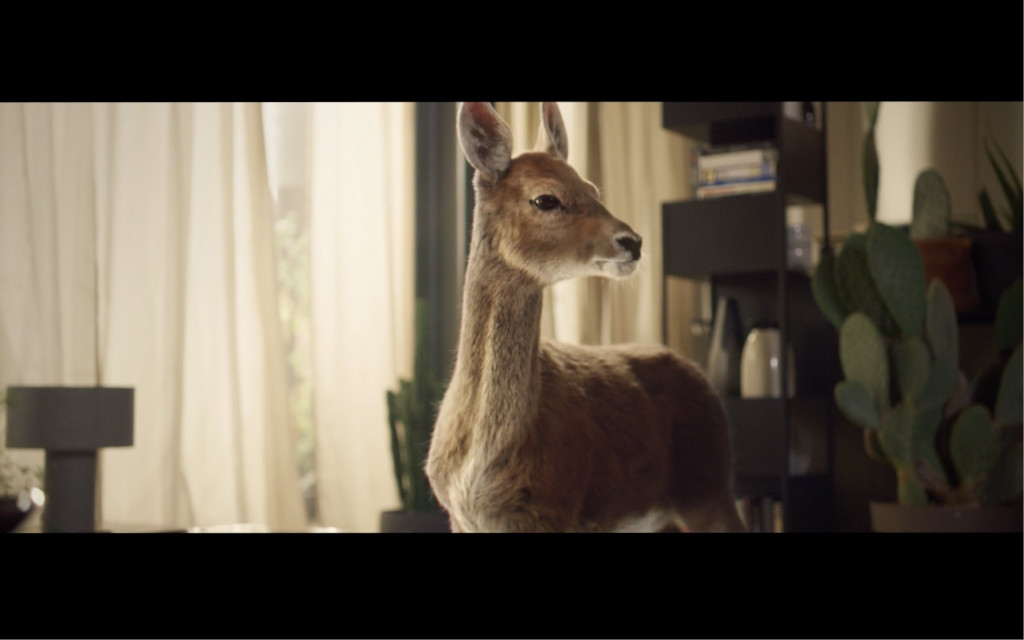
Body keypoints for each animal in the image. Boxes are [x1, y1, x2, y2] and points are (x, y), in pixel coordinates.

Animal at [425, 101, 746, 533]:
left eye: (593, 189)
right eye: (546, 199)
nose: (632, 242)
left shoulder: (557, 506)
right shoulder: (459, 517)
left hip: (710, 484)